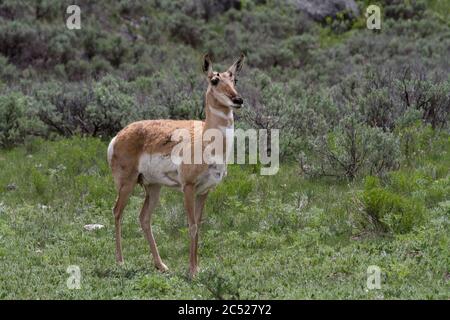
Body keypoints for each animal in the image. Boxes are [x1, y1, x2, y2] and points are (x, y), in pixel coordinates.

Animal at [107, 53, 244, 278]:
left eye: (235, 79)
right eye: (214, 80)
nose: (238, 100)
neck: (206, 138)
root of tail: (119, 135)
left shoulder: (204, 191)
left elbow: (199, 225)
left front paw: (197, 267)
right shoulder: (188, 188)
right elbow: (191, 225)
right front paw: (192, 271)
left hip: (153, 188)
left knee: (144, 218)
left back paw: (161, 265)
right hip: (126, 184)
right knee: (117, 212)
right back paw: (120, 261)